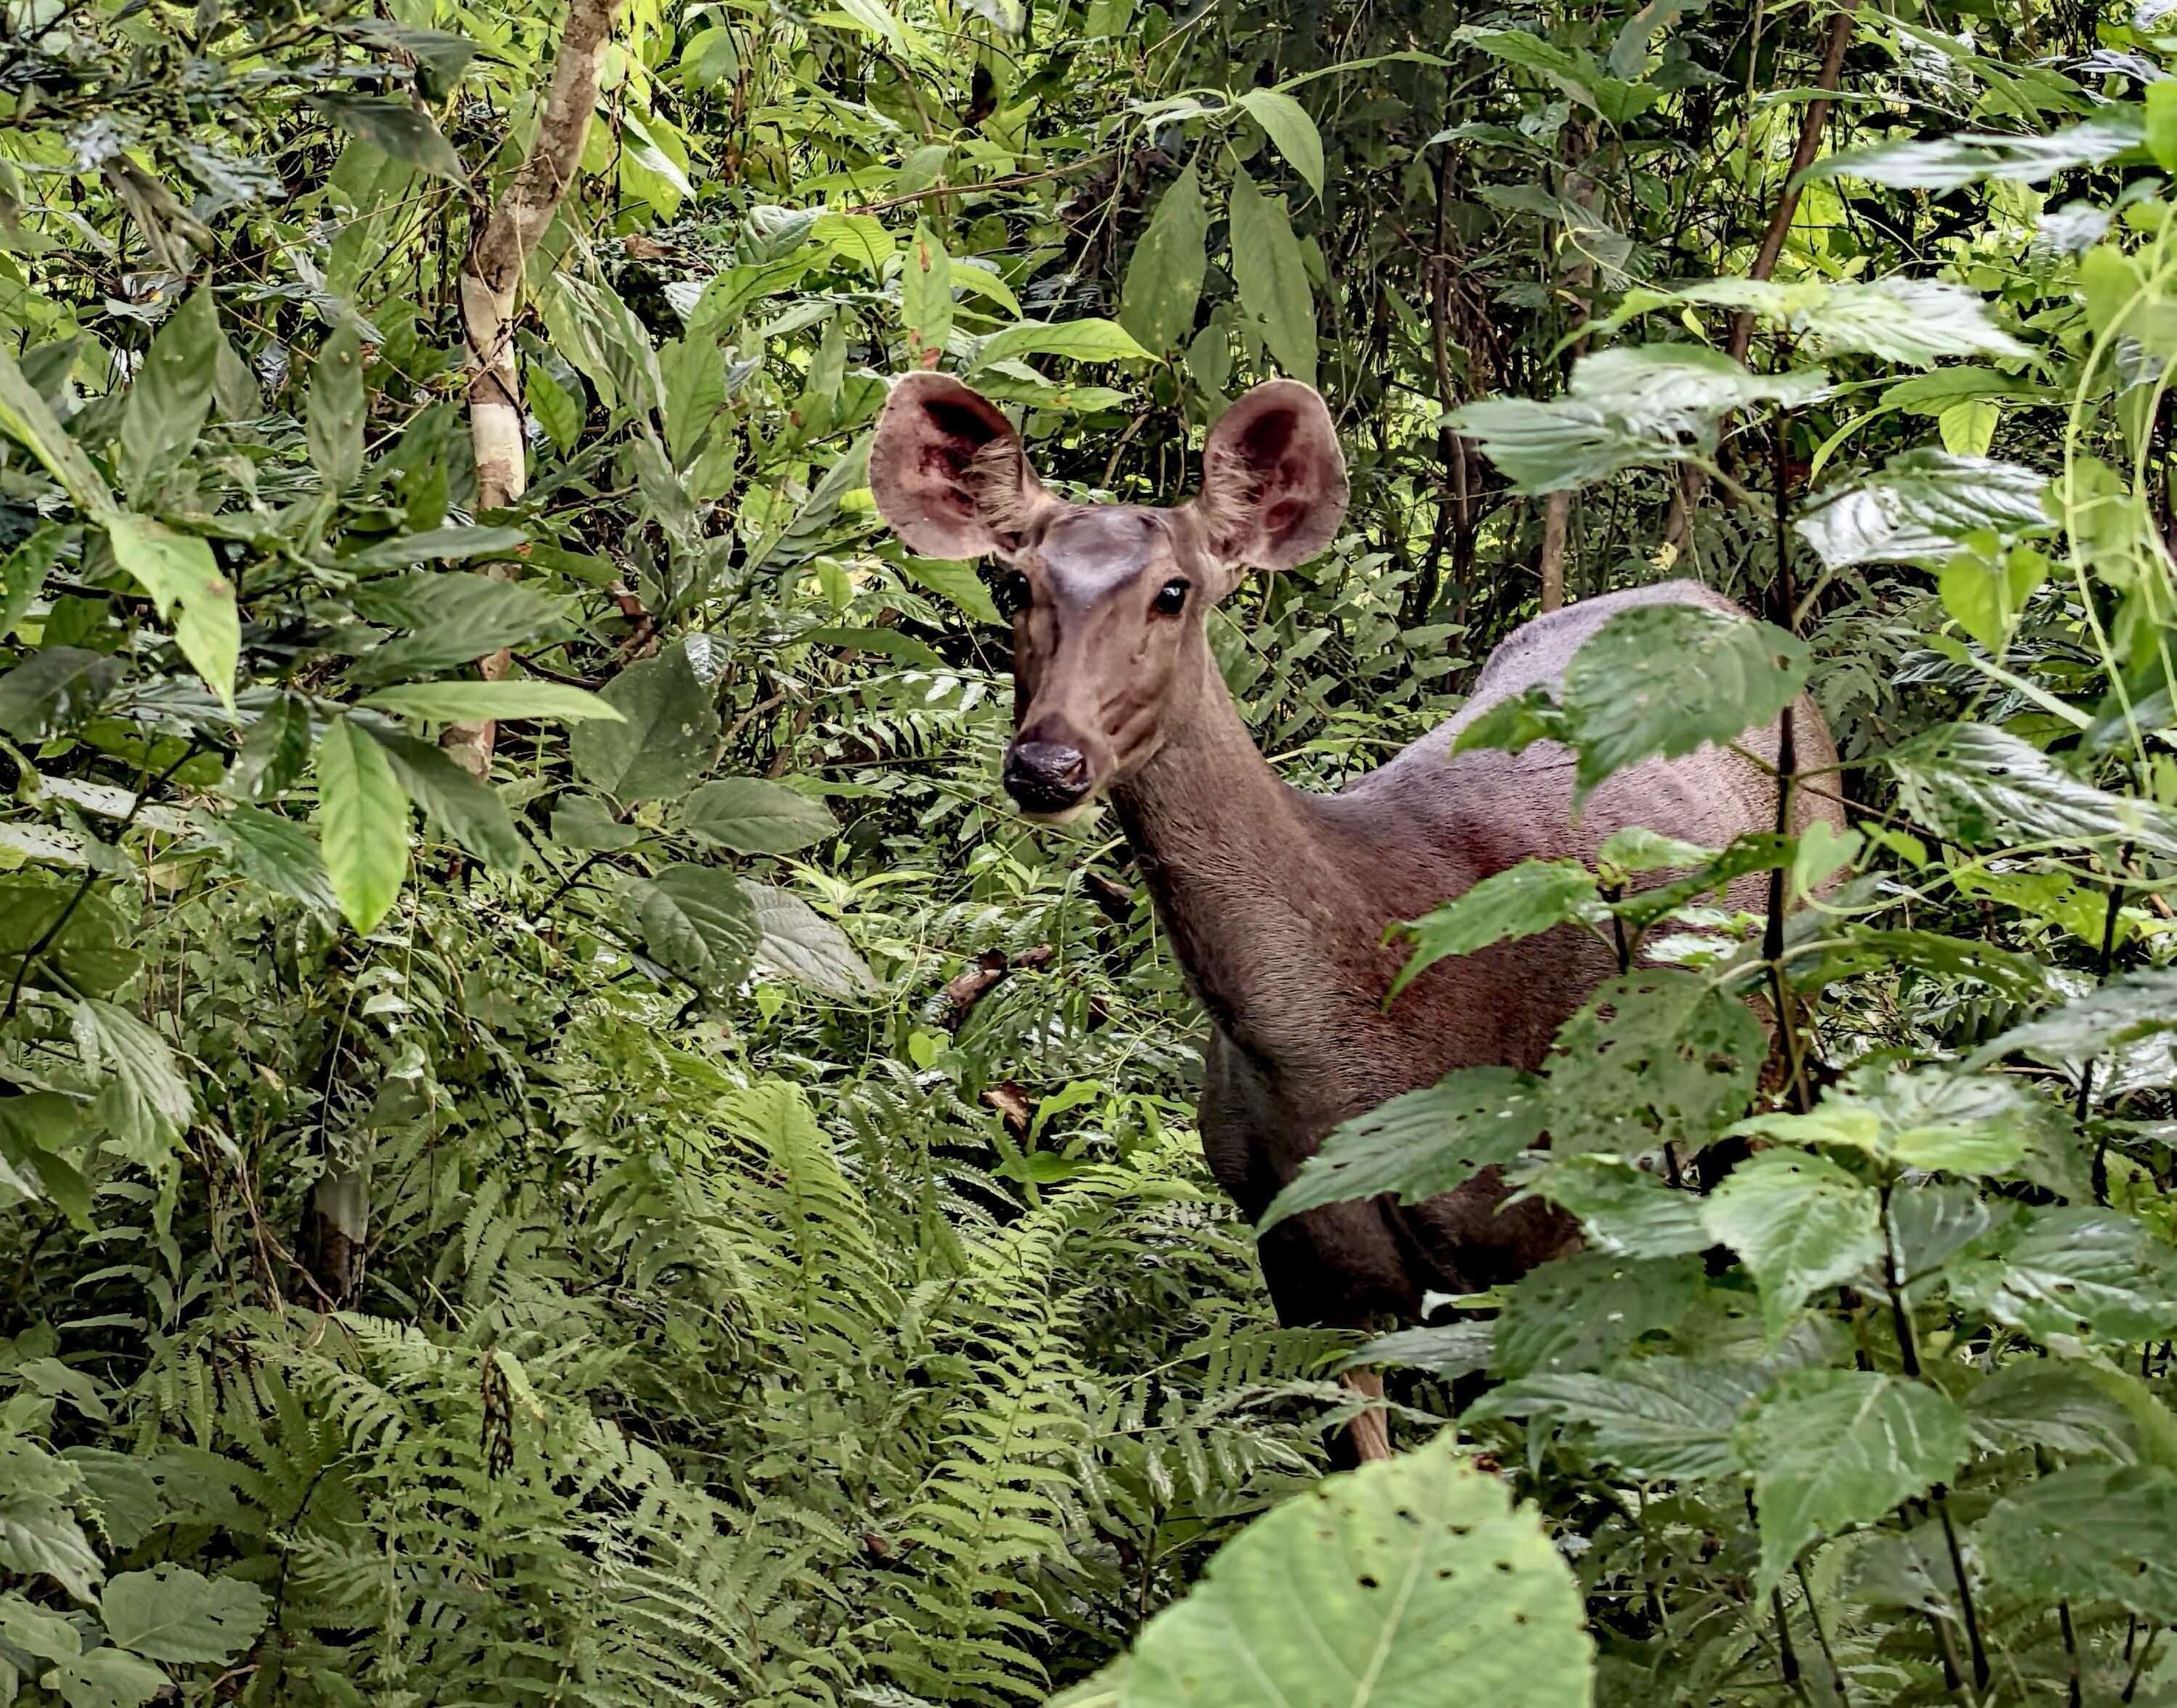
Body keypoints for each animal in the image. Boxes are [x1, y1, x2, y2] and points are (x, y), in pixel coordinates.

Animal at [868, 373, 1844, 1464]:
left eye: (1173, 590)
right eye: (1011, 586)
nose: (1047, 764)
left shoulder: (1525, 1233)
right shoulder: (1296, 1261)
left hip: (1792, 993)